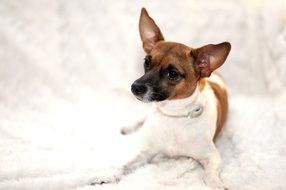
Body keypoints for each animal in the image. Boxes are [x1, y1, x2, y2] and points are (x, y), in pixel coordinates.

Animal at [90, 7, 231, 190]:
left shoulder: (212, 157)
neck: (174, 116)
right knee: (141, 119)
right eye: (146, 62)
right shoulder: (146, 153)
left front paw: (217, 183)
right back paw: (129, 127)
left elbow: (209, 175)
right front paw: (109, 176)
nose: (135, 87)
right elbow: (124, 165)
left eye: (172, 74)